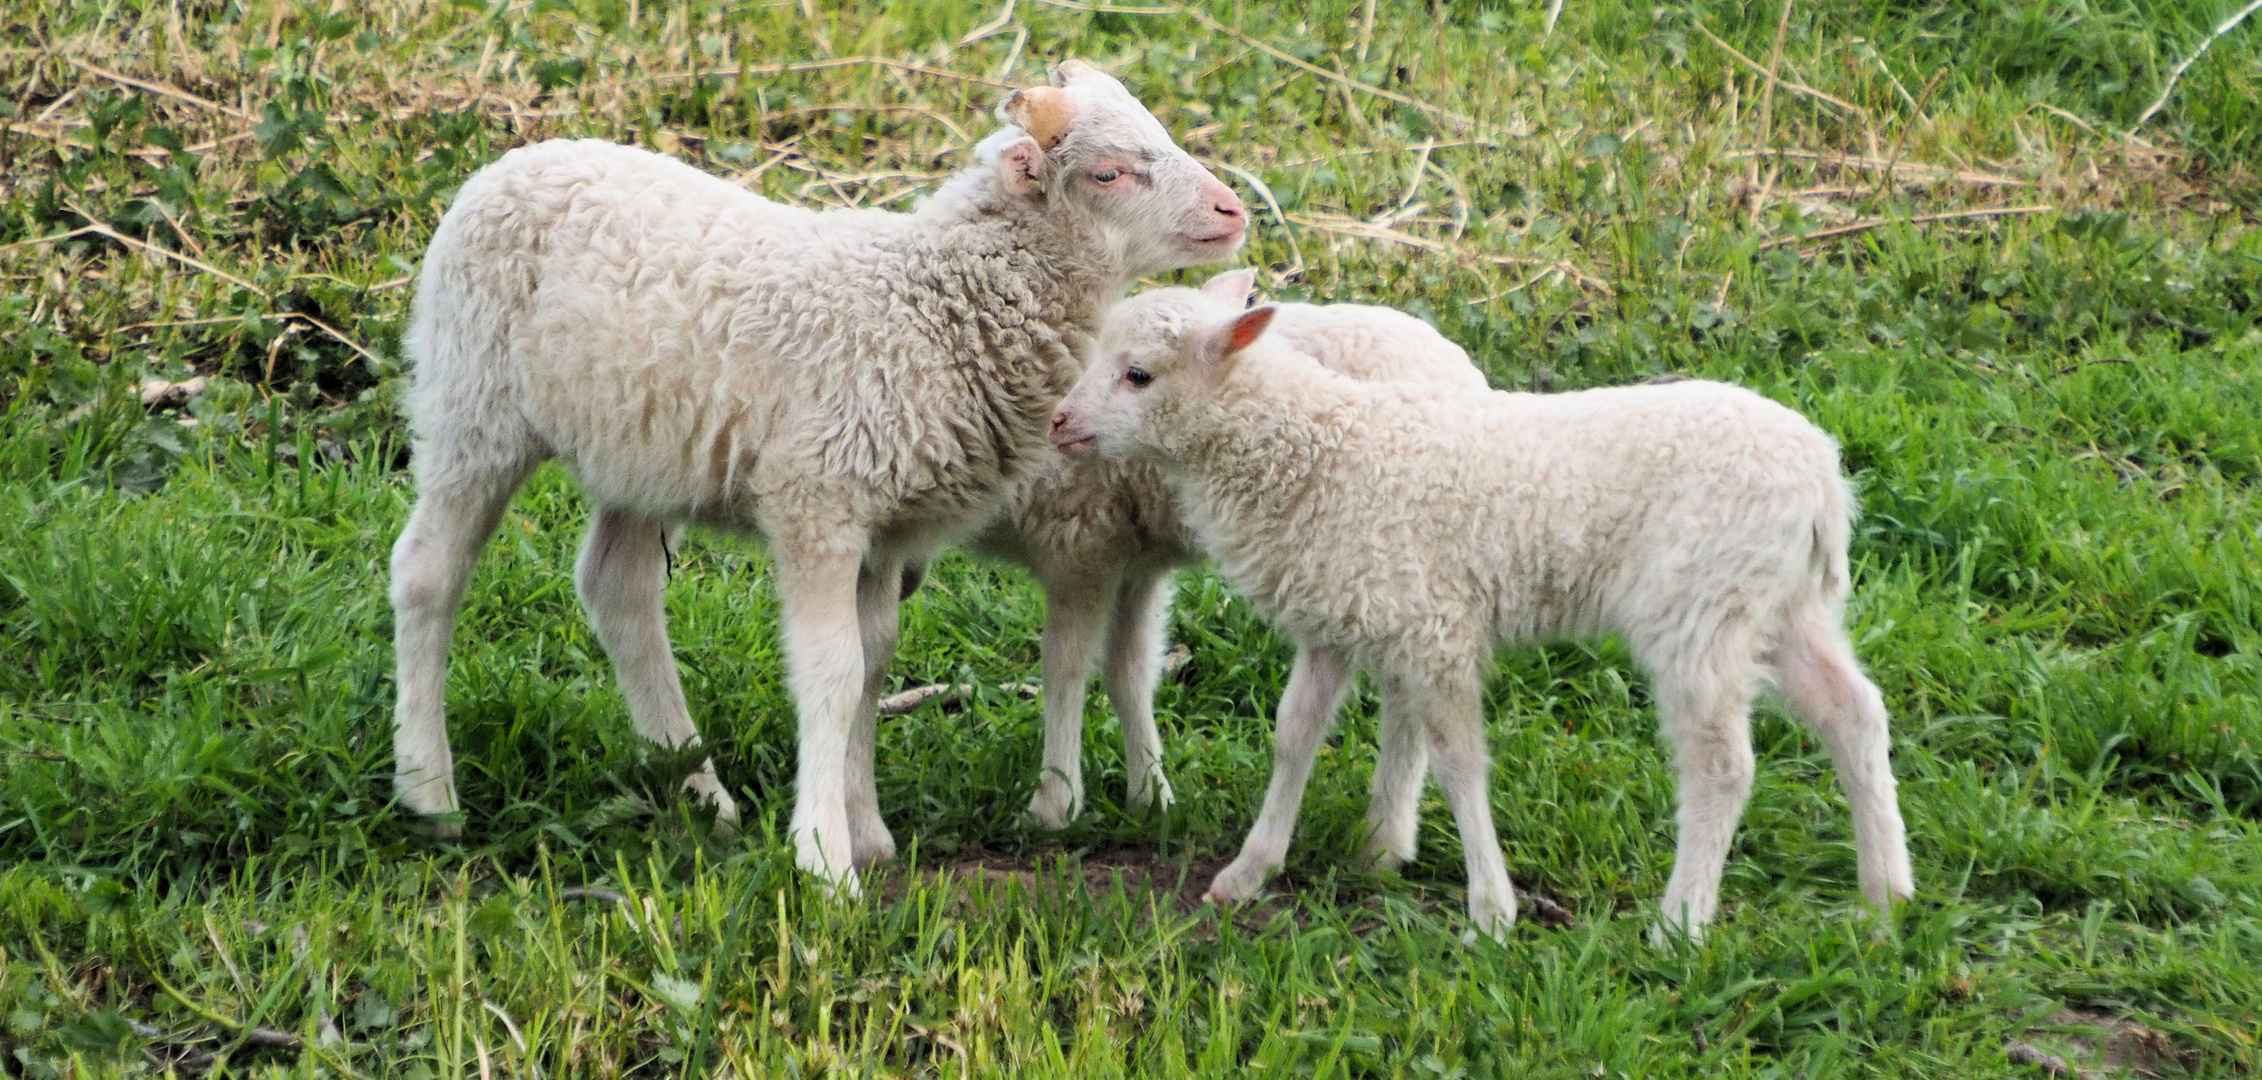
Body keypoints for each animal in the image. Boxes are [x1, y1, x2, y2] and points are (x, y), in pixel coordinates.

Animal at [386, 56, 1239, 892]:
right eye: (1108, 173)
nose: (1233, 211)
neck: (931, 300)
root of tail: (508, 163)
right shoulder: (817, 501)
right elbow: (832, 672)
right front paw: (825, 861)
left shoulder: (889, 526)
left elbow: (873, 662)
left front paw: (865, 833)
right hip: (474, 400)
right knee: (428, 571)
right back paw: (431, 791)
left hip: (635, 449)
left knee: (617, 588)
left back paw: (700, 794)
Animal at [950, 269, 1483, 824]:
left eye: (1137, 375)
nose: (1058, 422)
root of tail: (1468, 375)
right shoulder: (1133, 554)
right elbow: (1129, 671)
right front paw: (1150, 795)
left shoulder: (1080, 542)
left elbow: (1064, 669)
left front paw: (1054, 802)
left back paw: (1386, 826)